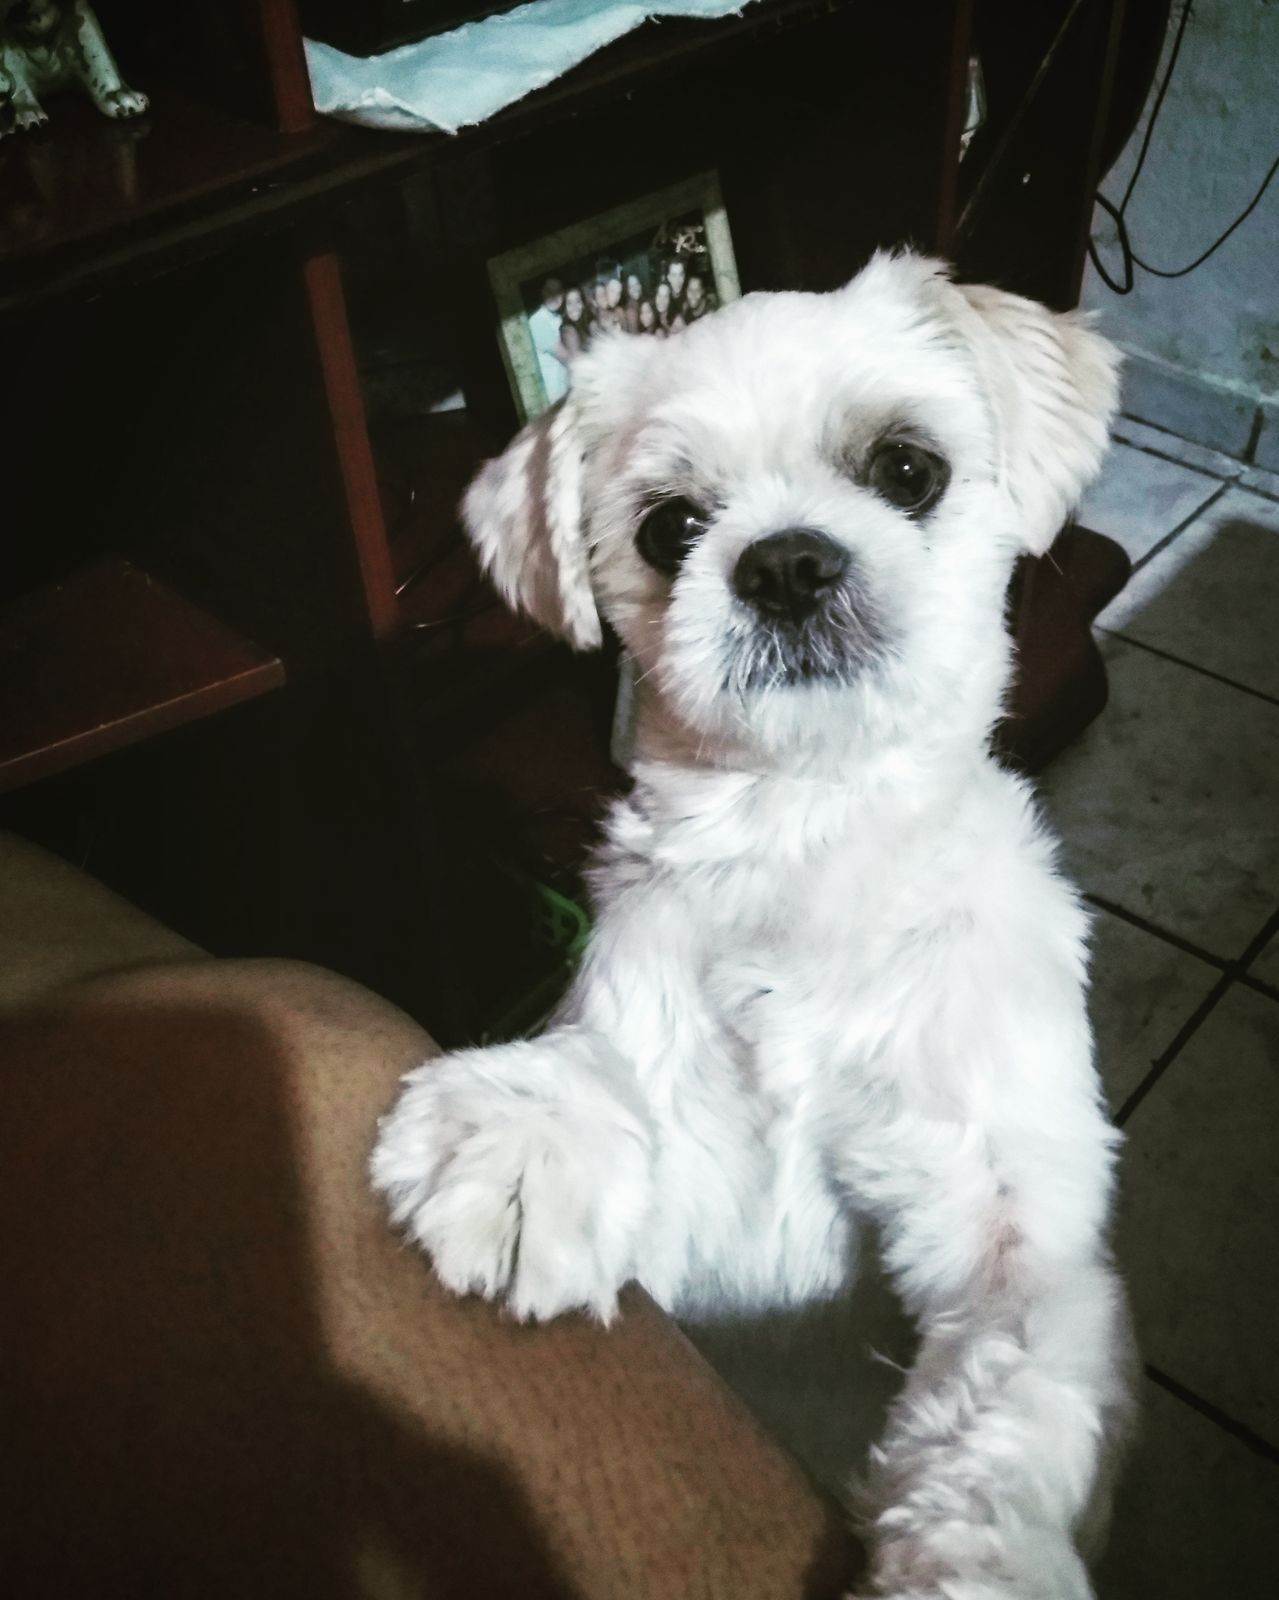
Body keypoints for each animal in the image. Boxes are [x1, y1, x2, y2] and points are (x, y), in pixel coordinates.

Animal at [372, 251, 1134, 1599]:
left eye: (907, 470)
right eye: (669, 527)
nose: (782, 563)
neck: (805, 839)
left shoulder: (1005, 1219)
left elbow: (1002, 1397)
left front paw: (978, 1560)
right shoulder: (705, 1222)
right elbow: (613, 1081)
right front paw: (524, 1135)